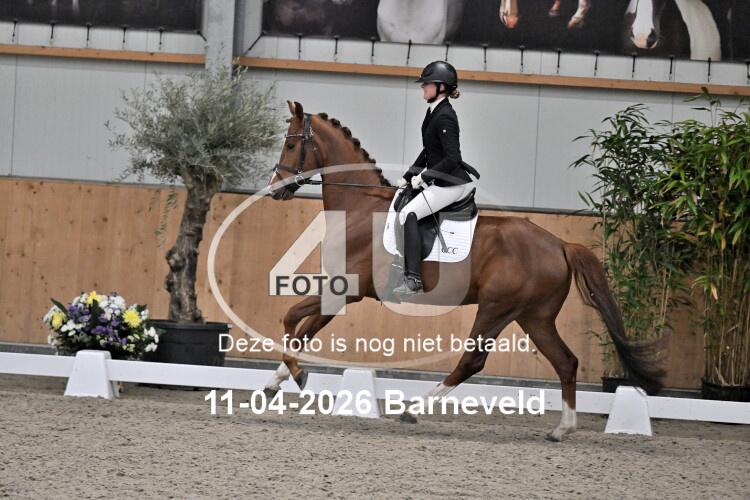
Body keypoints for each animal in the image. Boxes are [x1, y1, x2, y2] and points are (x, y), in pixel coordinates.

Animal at [263, 100, 665, 441]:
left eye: (290, 144)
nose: (273, 190)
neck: (359, 210)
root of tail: (560, 244)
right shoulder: (340, 292)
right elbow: (304, 331)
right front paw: (275, 382)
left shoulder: (345, 288)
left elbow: (291, 318)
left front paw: (297, 374)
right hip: (534, 316)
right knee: (565, 362)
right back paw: (562, 429)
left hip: (496, 308)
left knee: (473, 360)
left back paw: (414, 409)